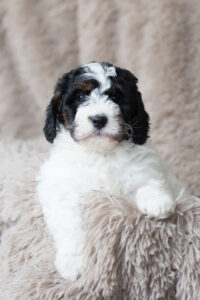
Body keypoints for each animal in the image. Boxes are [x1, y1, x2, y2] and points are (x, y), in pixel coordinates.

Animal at [36, 61, 187, 282]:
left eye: (116, 97)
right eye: (81, 97)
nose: (99, 119)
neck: (101, 153)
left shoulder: (144, 166)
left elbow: (148, 180)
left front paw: (158, 202)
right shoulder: (62, 191)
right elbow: (70, 224)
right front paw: (72, 261)